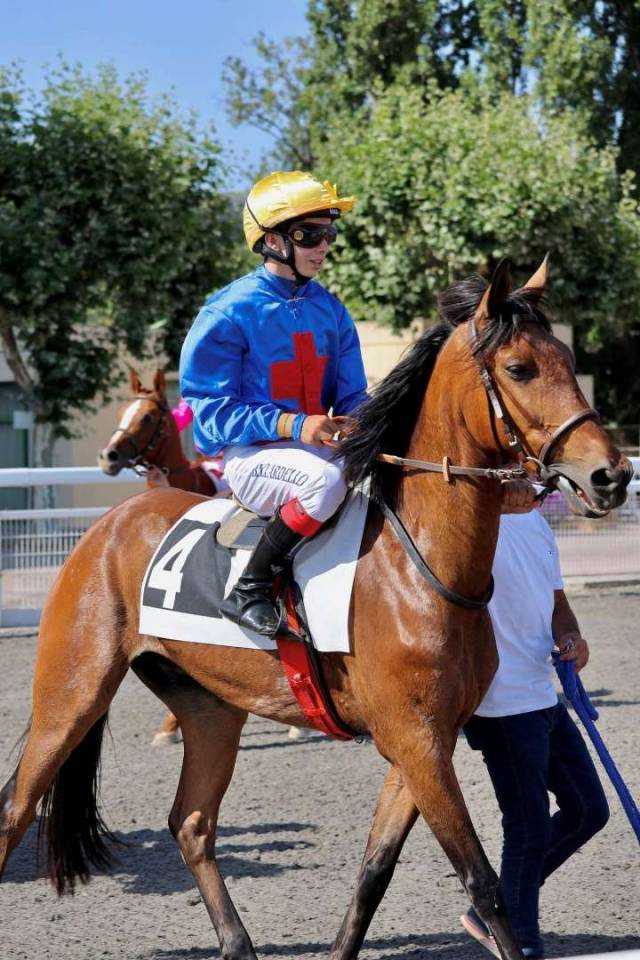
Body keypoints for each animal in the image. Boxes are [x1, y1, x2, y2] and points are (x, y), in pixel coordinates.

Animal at [0, 259, 631, 960]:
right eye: (520, 368)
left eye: (568, 360)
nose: (611, 475)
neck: (417, 566)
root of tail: (108, 525)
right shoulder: (418, 742)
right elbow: (482, 881)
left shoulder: (422, 742)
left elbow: (374, 870)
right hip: (71, 695)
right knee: (16, 811)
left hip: (210, 707)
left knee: (191, 821)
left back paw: (238, 943)